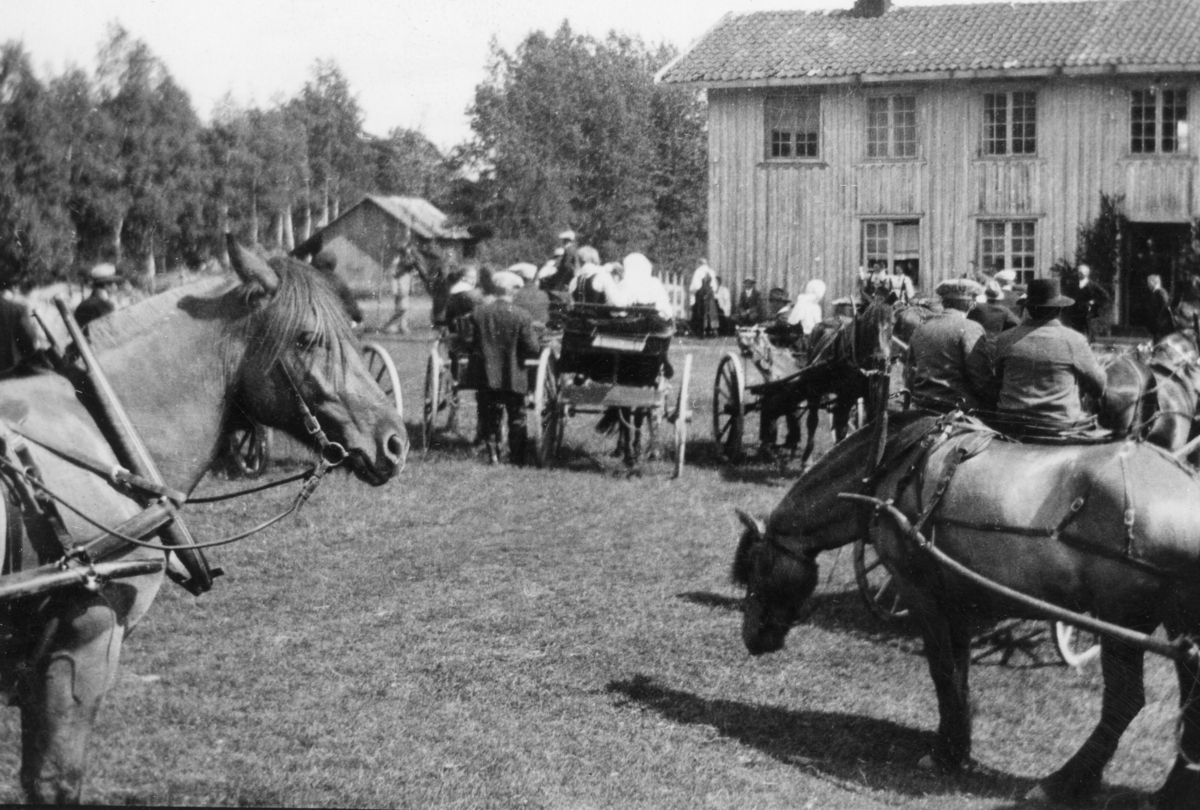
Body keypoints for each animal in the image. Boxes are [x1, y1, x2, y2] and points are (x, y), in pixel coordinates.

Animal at [729, 412, 1200, 810]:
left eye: (755, 566)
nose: (752, 636)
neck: (893, 466)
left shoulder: (920, 592)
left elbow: (941, 670)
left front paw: (945, 753)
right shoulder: (957, 598)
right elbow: (958, 674)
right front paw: (959, 745)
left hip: (1121, 618)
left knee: (1124, 702)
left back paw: (1062, 782)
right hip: (1180, 623)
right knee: (1191, 701)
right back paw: (1170, 791)